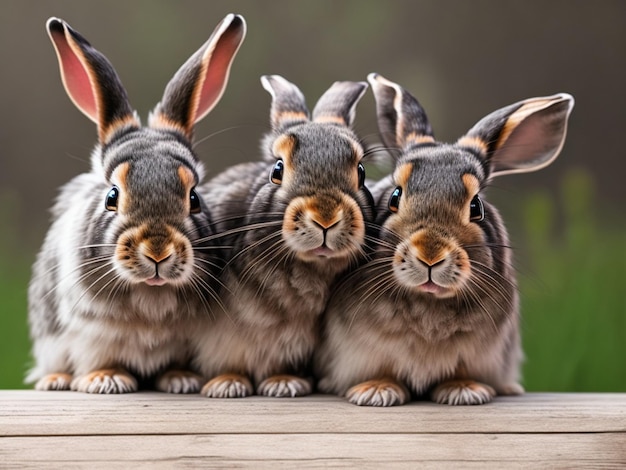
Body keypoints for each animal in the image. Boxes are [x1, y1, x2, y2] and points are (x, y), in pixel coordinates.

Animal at [26, 15, 246, 392]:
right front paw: (107, 379)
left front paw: (180, 379)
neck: (150, 293)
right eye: (112, 196)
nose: (158, 251)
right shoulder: (90, 335)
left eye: (194, 198)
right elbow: (100, 359)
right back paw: (57, 379)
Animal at [314, 75, 572, 406]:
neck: (429, 300)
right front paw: (376, 391)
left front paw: (464, 392)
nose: (430, 254)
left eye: (476, 207)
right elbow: (382, 370)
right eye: (395, 197)